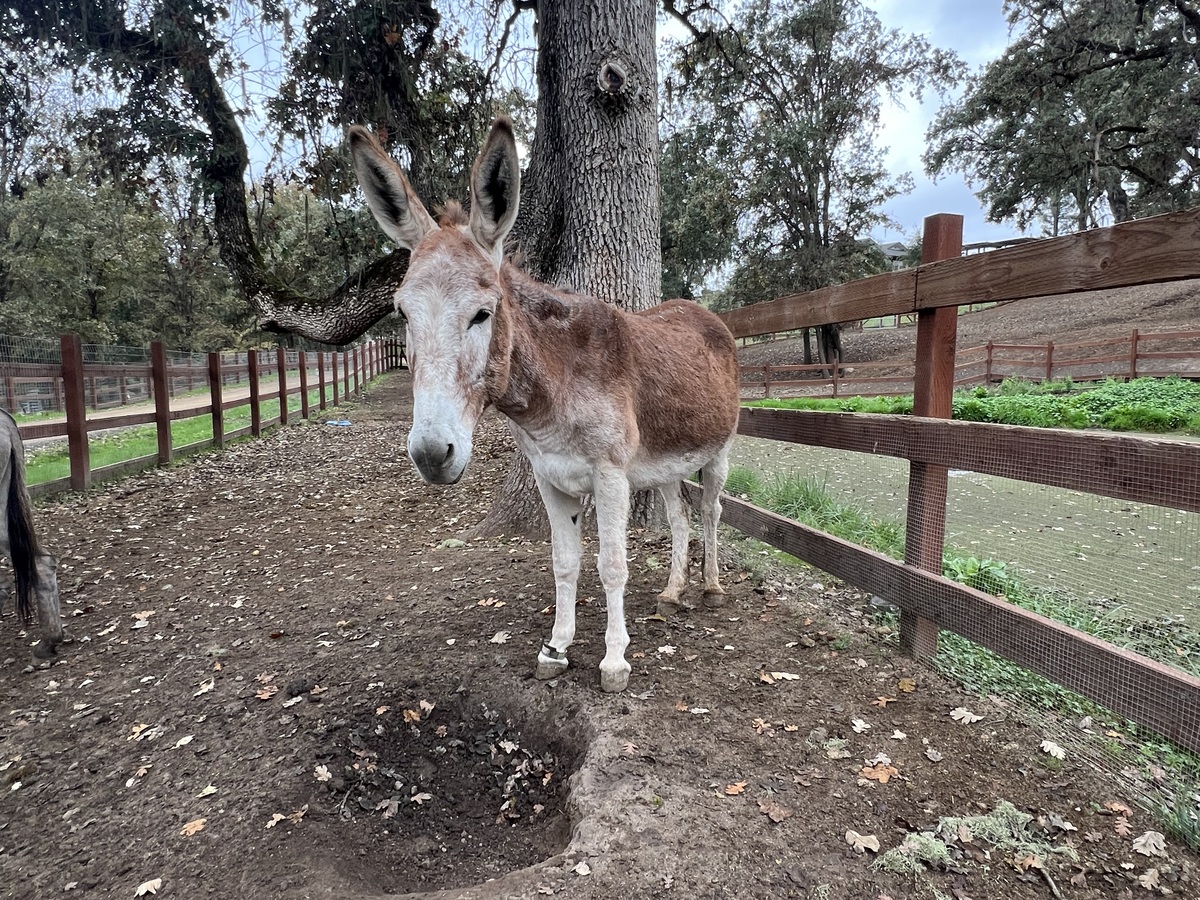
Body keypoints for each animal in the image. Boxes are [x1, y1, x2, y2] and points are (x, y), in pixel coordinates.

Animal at [349, 117, 741, 692]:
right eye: (402, 312)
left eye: (482, 313)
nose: (431, 454)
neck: (555, 392)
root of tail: (705, 313)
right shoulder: (551, 477)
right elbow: (563, 562)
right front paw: (556, 647)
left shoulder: (610, 475)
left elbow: (612, 565)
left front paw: (614, 660)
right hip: (666, 459)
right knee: (680, 515)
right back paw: (672, 593)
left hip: (718, 449)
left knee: (711, 510)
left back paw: (710, 588)